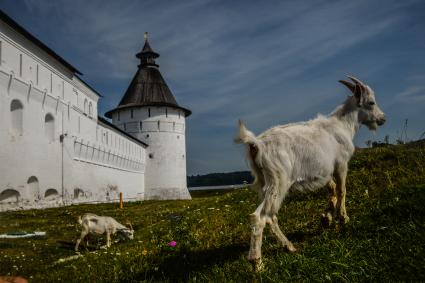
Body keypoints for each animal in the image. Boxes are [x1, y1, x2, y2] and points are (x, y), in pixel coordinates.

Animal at [235, 76, 384, 272]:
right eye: (371, 102)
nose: (383, 119)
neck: (343, 125)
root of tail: (256, 144)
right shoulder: (341, 164)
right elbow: (342, 190)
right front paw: (343, 218)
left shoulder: (325, 172)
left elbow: (332, 189)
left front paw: (326, 218)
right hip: (278, 180)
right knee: (259, 217)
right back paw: (257, 263)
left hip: (263, 182)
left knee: (270, 216)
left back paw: (289, 246)